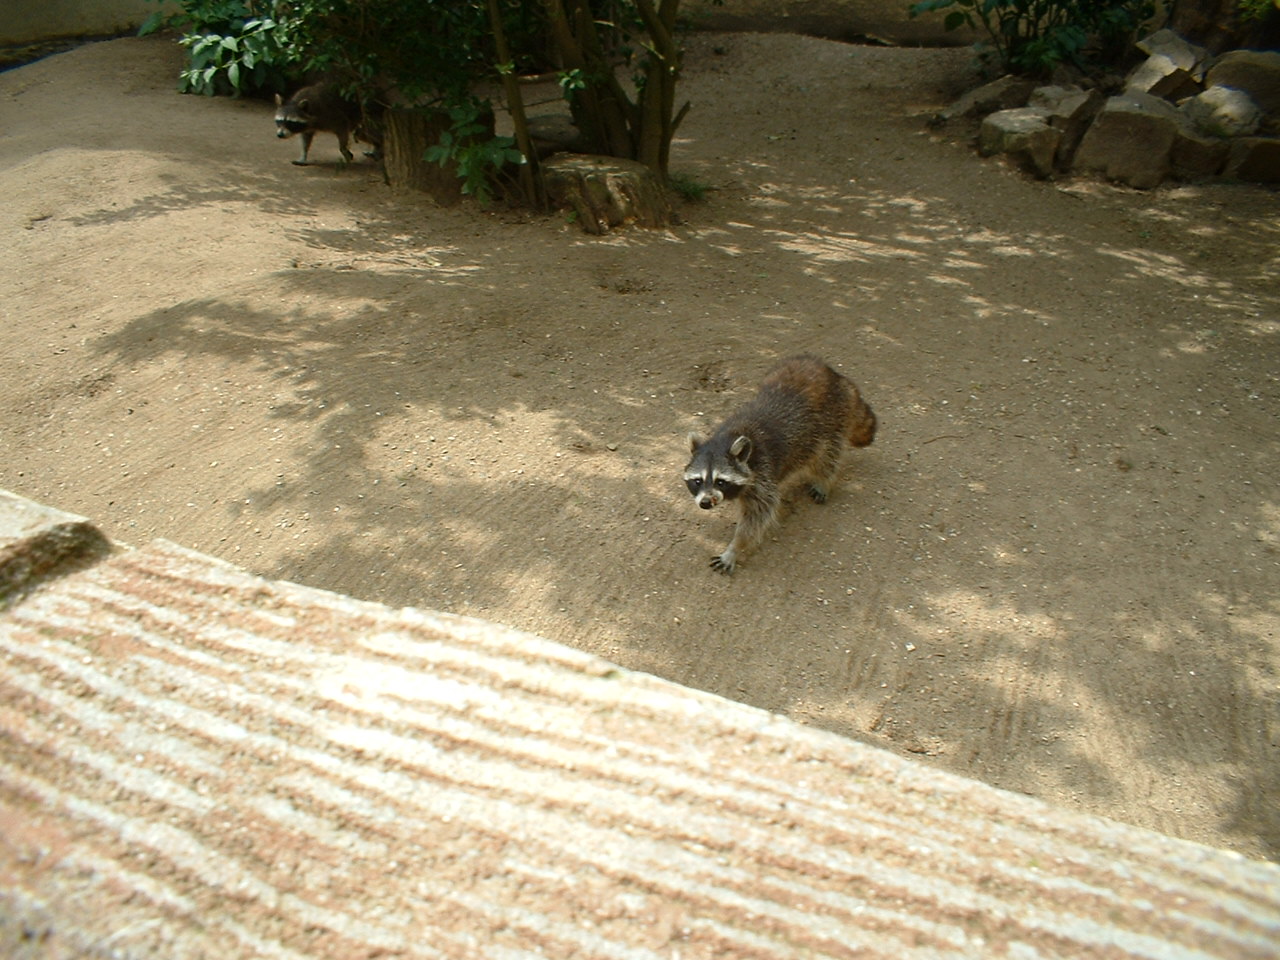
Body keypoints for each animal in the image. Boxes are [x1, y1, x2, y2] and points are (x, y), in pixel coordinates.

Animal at [684, 354, 876, 575]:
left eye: (720, 482)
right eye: (698, 481)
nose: (705, 503)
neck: (725, 439)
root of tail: (837, 377)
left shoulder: (762, 474)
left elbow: (757, 517)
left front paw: (735, 547)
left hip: (833, 419)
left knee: (826, 456)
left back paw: (824, 481)